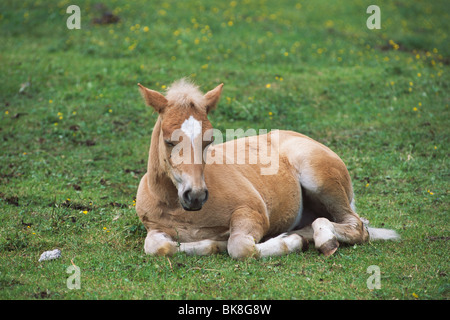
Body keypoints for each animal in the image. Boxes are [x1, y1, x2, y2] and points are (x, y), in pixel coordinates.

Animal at [135, 79, 400, 260]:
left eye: (209, 140)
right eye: (169, 141)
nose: (196, 195)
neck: (180, 209)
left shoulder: (253, 212)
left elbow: (240, 247)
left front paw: (290, 243)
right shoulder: (155, 227)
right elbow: (158, 247)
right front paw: (214, 244)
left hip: (319, 178)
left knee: (357, 226)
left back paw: (321, 240)